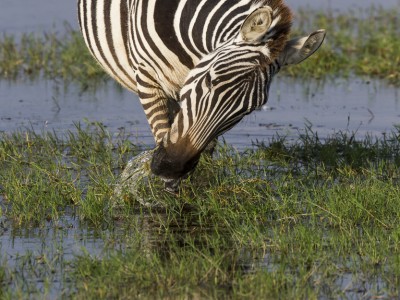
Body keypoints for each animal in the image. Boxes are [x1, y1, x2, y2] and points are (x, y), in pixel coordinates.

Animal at [77, 0, 324, 190]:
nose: (171, 167)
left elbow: (205, 148)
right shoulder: (148, 77)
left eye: (249, 109)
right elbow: (161, 130)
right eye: (209, 80)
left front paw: (200, 187)